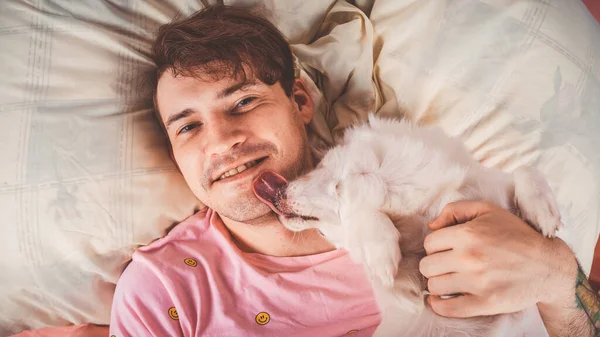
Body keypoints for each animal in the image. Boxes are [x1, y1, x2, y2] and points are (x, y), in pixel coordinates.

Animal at [253, 114, 564, 334]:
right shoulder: (406, 287)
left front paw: (543, 211)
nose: (277, 191)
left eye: (317, 170)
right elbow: (363, 214)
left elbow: (524, 171)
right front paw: (382, 254)